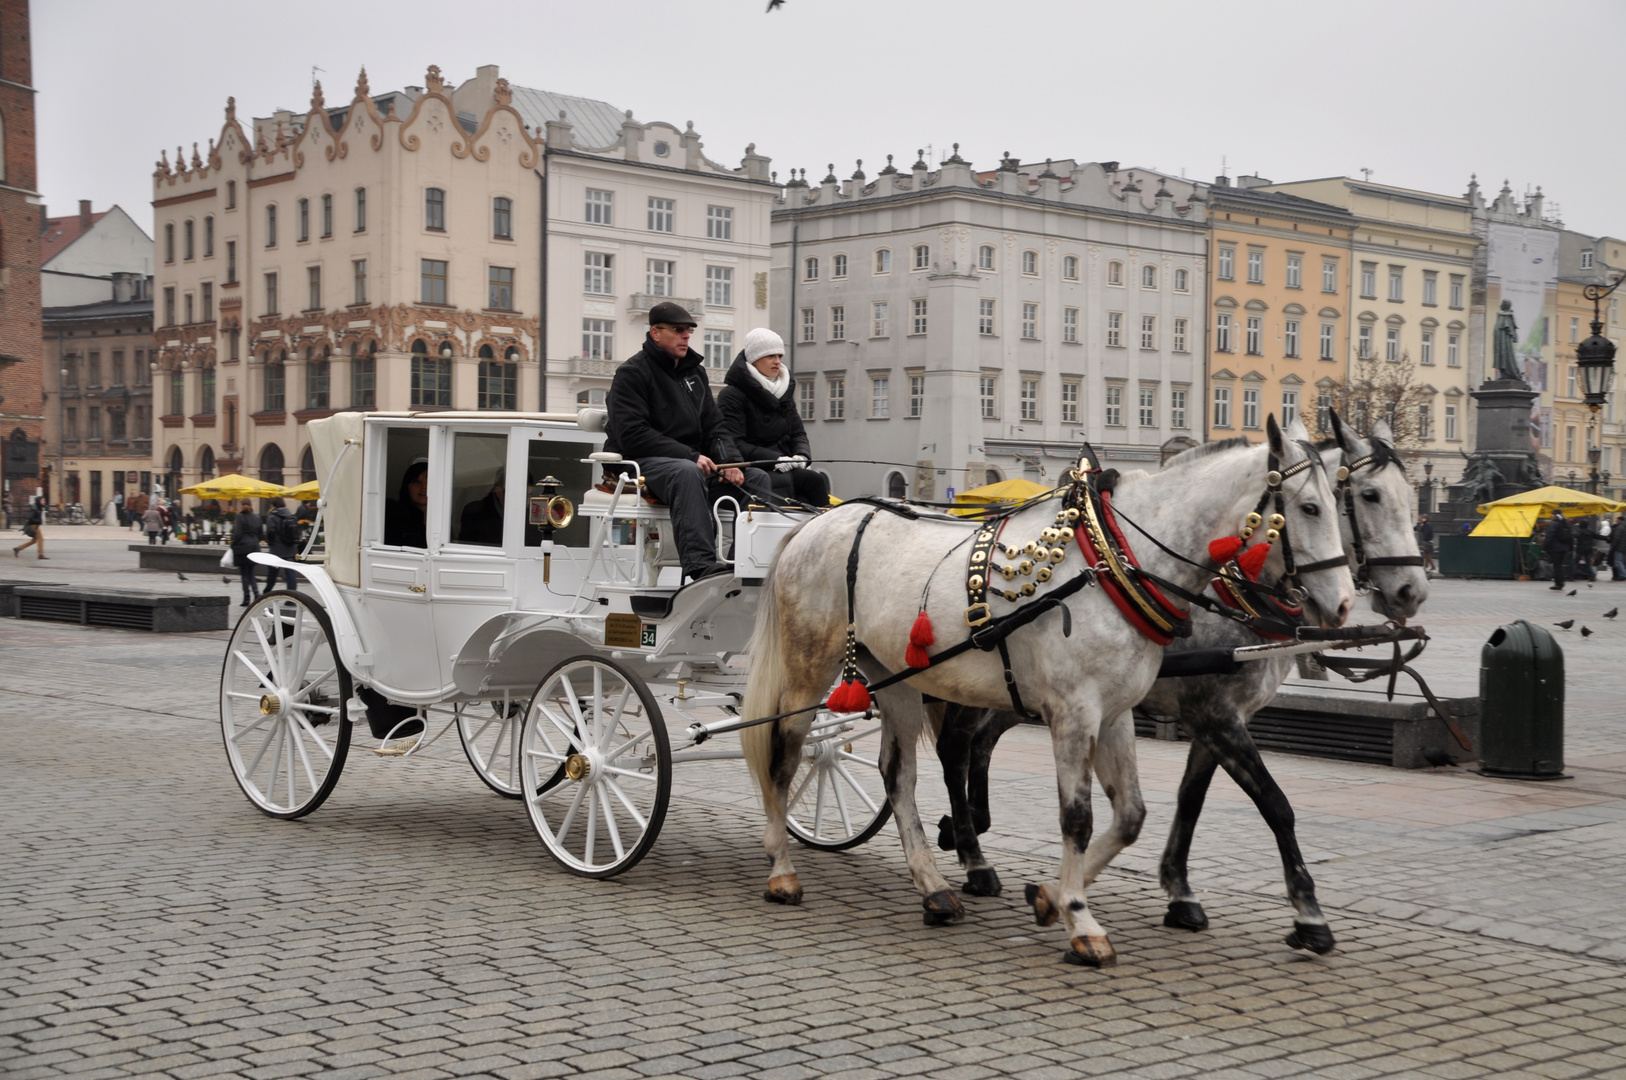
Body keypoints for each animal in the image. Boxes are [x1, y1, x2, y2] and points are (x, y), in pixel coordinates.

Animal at [744, 416, 1352, 962]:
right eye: (1311, 508)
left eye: (1342, 502)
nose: (1345, 603)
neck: (1113, 561)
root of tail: (821, 522)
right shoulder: (1078, 712)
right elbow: (1078, 818)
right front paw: (1080, 922)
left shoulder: (1119, 714)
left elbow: (1131, 816)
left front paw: (1050, 897)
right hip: (810, 666)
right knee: (785, 757)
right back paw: (782, 871)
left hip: (895, 675)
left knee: (899, 775)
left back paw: (934, 888)